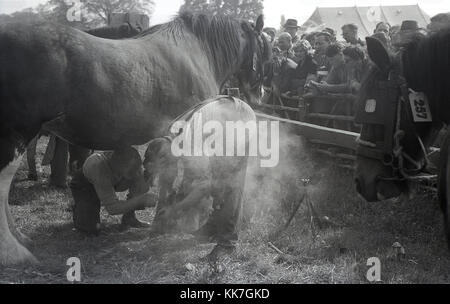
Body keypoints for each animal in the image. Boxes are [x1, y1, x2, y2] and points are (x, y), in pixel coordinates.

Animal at [0, 11, 270, 264]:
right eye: (266, 50)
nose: (260, 96)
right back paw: (14, 251)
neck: (195, 53)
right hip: (19, 135)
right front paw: (165, 222)